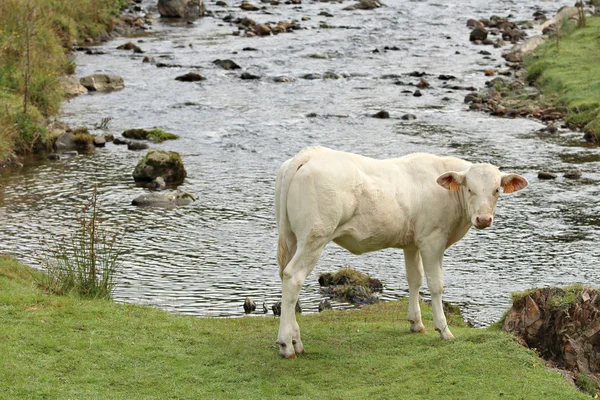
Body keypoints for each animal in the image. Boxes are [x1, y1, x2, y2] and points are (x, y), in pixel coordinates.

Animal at [274, 145, 528, 358]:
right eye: (469, 188)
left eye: (496, 190)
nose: (484, 219)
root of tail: (308, 154)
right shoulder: (432, 239)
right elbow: (436, 285)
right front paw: (443, 330)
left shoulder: (413, 243)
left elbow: (414, 279)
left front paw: (416, 324)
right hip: (315, 236)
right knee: (293, 277)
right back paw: (287, 346)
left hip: (293, 237)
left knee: (286, 279)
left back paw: (295, 341)